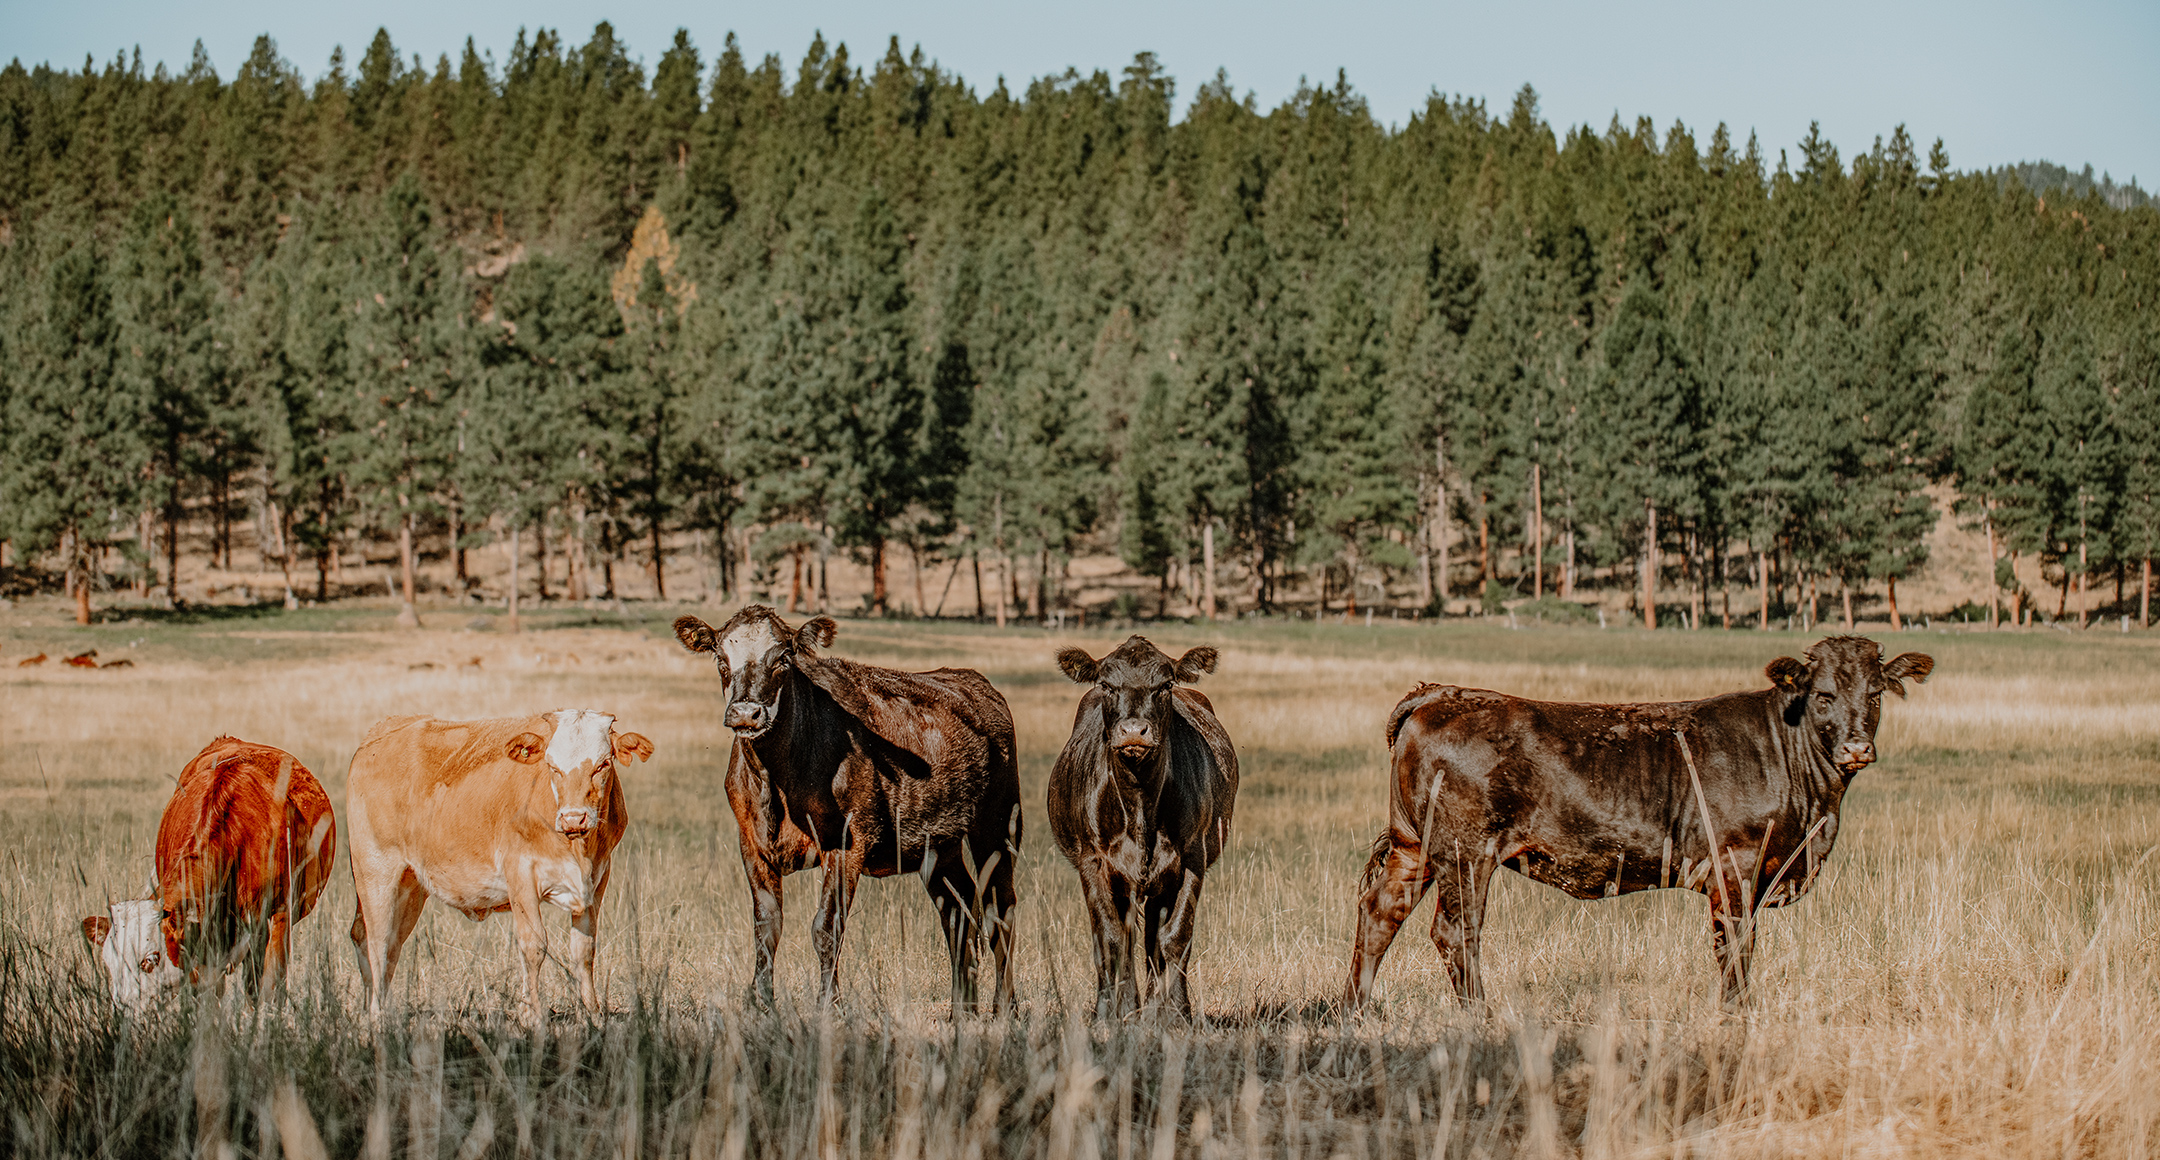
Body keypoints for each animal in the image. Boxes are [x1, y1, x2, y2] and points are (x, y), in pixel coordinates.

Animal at [341, 704, 648, 1023]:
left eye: (603, 764)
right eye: (552, 766)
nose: (573, 818)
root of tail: (382, 731)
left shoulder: (596, 883)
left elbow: (584, 952)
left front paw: (594, 1015)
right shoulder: (521, 876)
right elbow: (534, 946)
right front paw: (533, 1015)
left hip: (410, 887)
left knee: (390, 944)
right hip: (376, 875)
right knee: (376, 941)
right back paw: (377, 1015)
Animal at [673, 604, 1019, 1010]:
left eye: (784, 658)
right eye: (720, 658)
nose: (745, 713)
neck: (776, 783)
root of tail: (970, 679)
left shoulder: (847, 843)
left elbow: (826, 927)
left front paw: (829, 1005)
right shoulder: (752, 844)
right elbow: (766, 925)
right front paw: (761, 1003)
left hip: (998, 826)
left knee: (999, 911)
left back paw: (1005, 1007)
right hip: (938, 846)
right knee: (958, 909)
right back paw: (961, 1010)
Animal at [1054, 630, 1244, 1019]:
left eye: (1165, 684)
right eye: (1106, 684)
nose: (1133, 731)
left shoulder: (1192, 859)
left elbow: (1175, 937)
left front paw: (1171, 1013)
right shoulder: (1092, 862)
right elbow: (1110, 939)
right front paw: (1112, 1013)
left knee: (1155, 939)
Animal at [1347, 639, 1944, 1006]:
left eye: (1875, 694)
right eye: (1823, 695)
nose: (1857, 747)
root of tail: (1444, 693)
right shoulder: (1734, 866)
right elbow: (1736, 948)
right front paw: (1737, 1018)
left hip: (1414, 848)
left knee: (1381, 913)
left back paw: (1355, 1009)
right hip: (1464, 854)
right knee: (1454, 933)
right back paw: (1482, 1017)